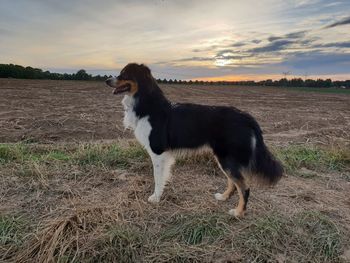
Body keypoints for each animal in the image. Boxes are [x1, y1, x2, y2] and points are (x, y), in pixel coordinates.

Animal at [105, 63, 284, 218]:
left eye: (125, 74)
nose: (106, 80)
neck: (146, 104)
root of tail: (247, 117)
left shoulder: (158, 152)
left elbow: (157, 177)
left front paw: (155, 198)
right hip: (224, 159)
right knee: (233, 183)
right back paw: (223, 197)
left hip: (226, 158)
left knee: (244, 187)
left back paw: (238, 213)